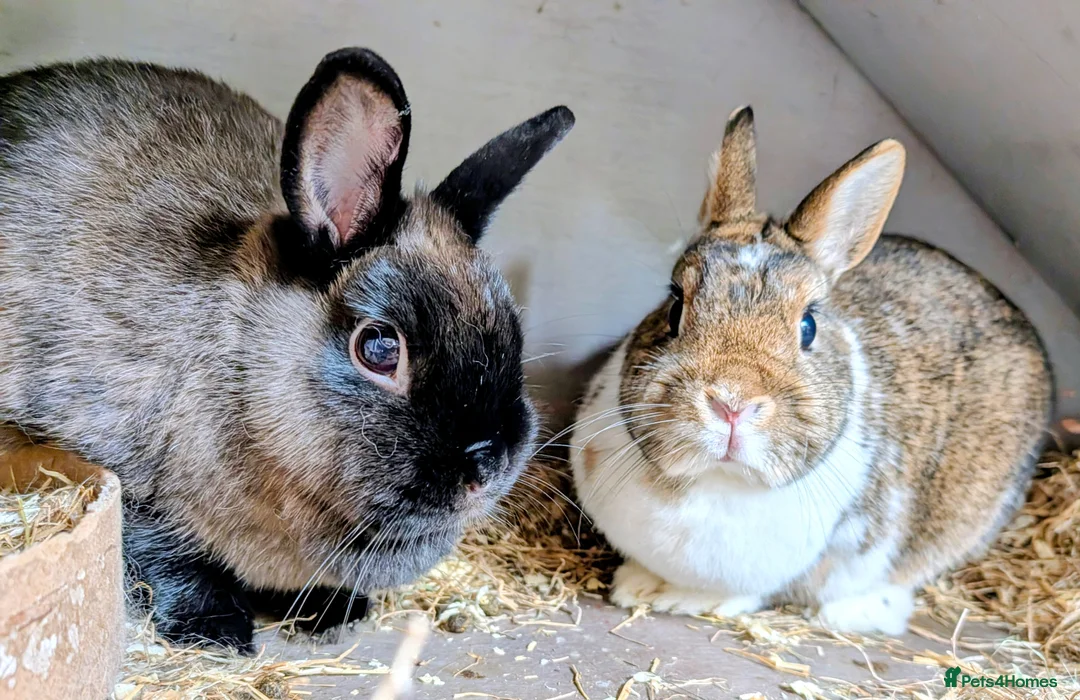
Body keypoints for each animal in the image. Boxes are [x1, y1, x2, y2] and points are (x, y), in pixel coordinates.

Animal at [0, 48, 574, 651]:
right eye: (378, 348)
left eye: (513, 331)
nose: (487, 466)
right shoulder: (122, 473)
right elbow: (168, 556)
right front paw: (217, 631)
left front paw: (335, 611)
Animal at [570, 106, 1052, 635]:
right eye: (674, 306)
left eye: (809, 326)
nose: (732, 403)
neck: (716, 479)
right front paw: (636, 586)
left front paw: (689, 600)